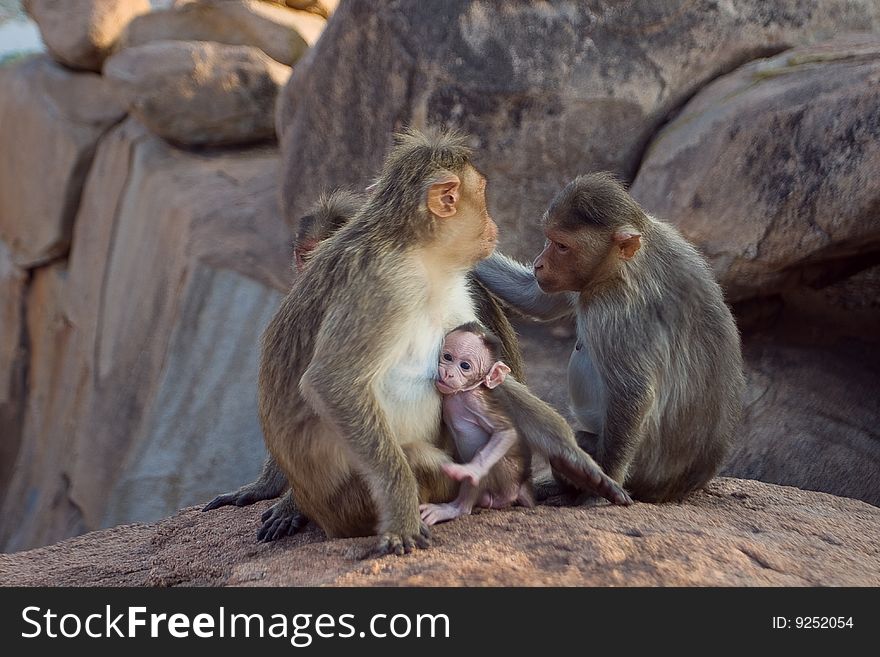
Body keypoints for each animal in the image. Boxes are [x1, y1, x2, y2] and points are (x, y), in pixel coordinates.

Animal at [474, 172, 744, 500]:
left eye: (561, 246)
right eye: (549, 239)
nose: (539, 263)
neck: (623, 264)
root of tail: (679, 488)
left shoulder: (616, 307)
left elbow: (633, 392)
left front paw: (602, 486)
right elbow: (536, 298)